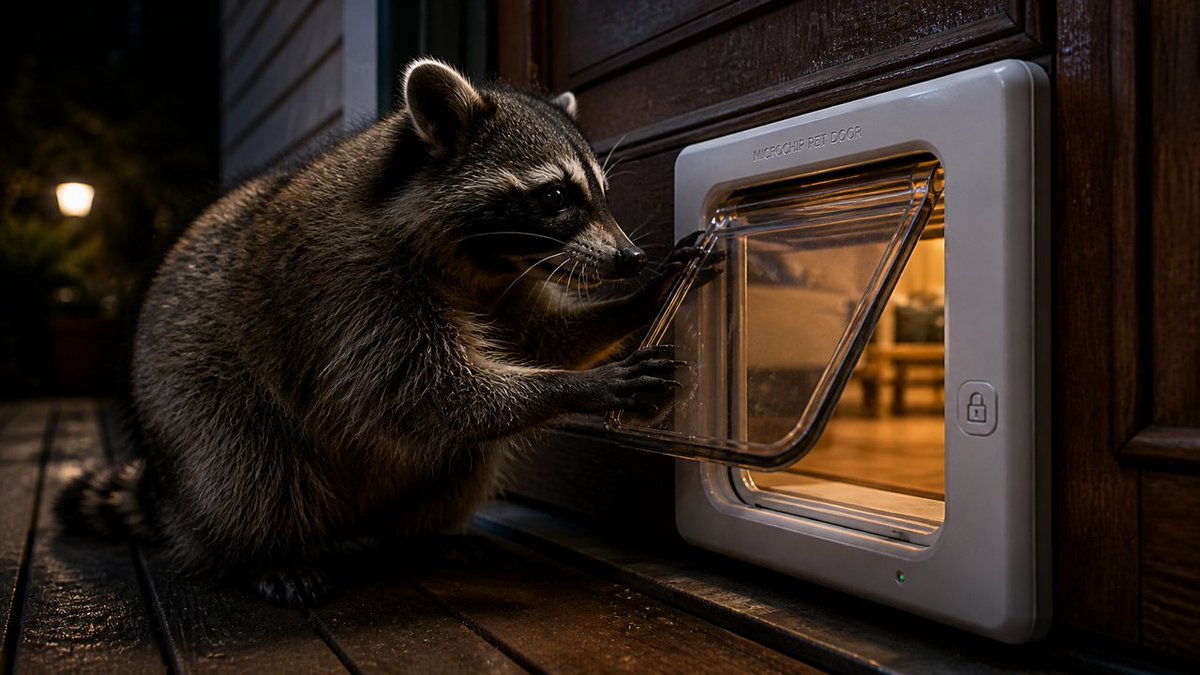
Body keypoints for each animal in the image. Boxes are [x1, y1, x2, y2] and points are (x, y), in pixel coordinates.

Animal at [55, 59, 698, 606]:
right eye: (556, 195)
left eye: (603, 196)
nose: (630, 259)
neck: (477, 263)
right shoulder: (352, 282)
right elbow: (414, 391)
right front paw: (574, 386)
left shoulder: (504, 282)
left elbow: (543, 338)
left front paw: (642, 300)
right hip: (193, 401)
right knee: (247, 461)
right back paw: (259, 553)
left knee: (464, 458)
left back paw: (418, 535)